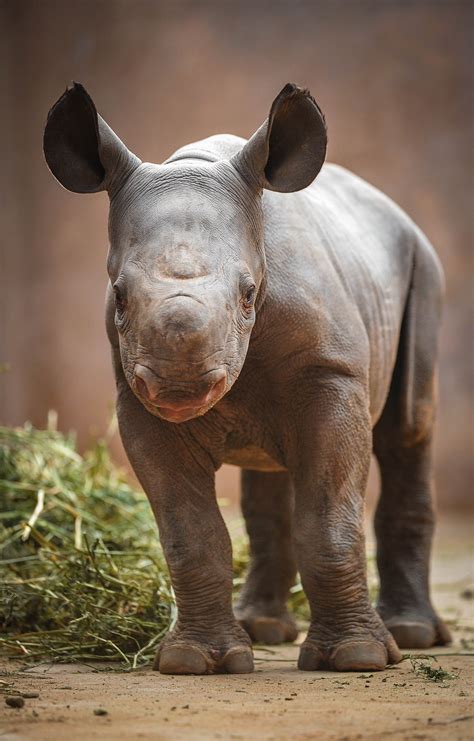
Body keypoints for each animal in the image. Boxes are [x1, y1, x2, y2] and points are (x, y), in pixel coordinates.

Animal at [43, 84, 448, 672]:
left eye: (249, 294)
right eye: (118, 295)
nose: (179, 386)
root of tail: (391, 207)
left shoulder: (333, 374)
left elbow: (330, 518)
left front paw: (358, 657)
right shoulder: (136, 399)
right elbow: (190, 534)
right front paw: (195, 662)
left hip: (421, 263)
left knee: (408, 429)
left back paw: (413, 635)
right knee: (270, 469)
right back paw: (264, 629)